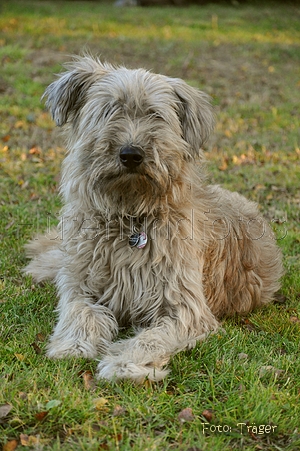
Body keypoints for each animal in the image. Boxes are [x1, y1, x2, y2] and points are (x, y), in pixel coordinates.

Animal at [24, 54, 284, 384]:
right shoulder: (81, 286)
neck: (132, 218)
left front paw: (124, 362)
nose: (130, 154)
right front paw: (74, 345)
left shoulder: (184, 308)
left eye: (155, 115)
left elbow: (151, 338)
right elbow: (80, 312)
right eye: (110, 109)